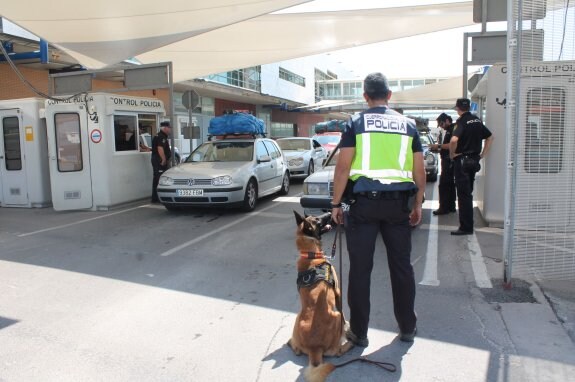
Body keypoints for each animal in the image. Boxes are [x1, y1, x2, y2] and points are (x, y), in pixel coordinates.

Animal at [290, 210, 354, 380]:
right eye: (317, 220)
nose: (330, 212)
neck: (310, 255)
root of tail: (314, 349)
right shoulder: (338, 292)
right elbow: (344, 314)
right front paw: (347, 328)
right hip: (335, 315)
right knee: (336, 352)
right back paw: (349, 344)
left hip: (297, 317)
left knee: (296, 349)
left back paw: (291, 343)